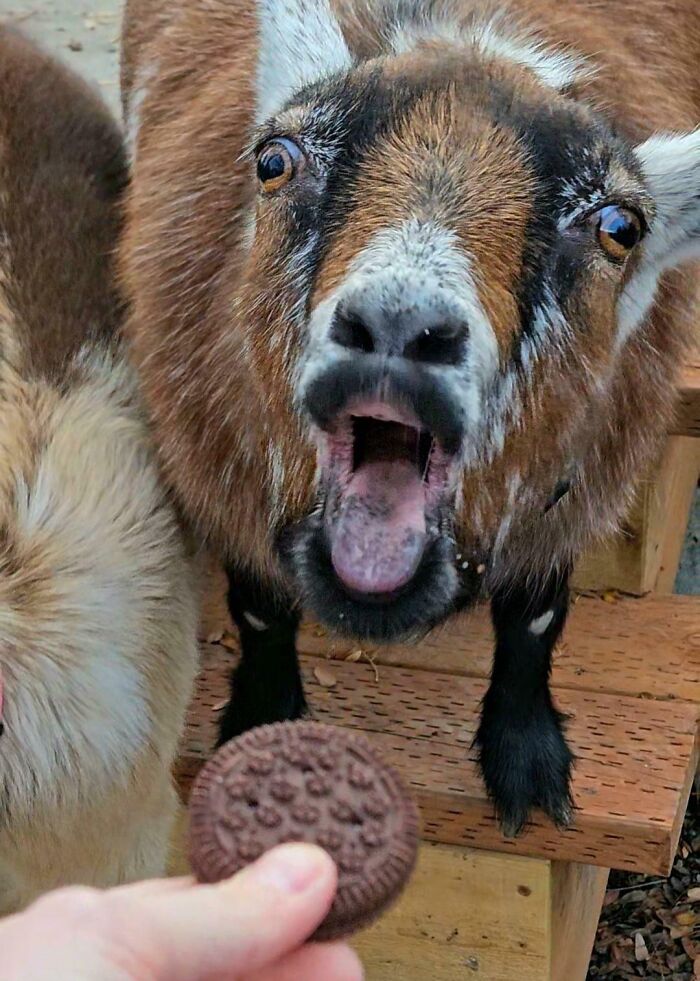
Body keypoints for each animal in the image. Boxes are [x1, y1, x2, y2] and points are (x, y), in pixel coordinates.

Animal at [119, 0, 699, 834]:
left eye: (620, 226)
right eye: (274, 161)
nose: (398, 326)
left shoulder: (570, 485)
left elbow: (535, 617)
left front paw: (526, 760)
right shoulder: (219, 471)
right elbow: (259, 608)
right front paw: (264, 733)